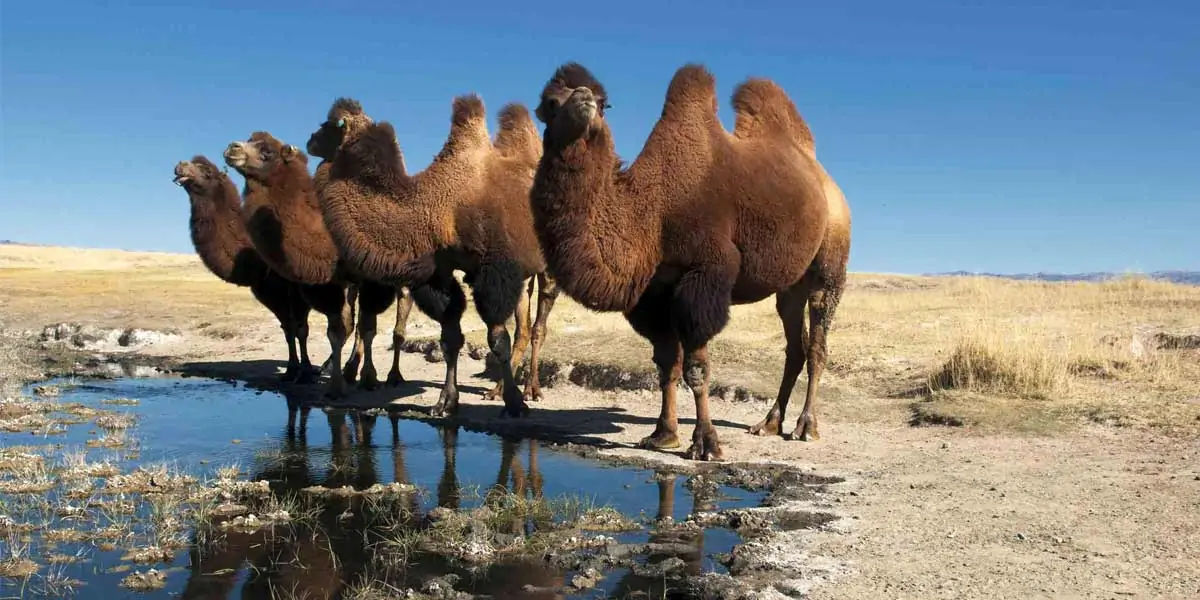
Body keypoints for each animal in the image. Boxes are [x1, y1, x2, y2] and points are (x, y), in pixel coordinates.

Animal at [174, 155, 316, 382]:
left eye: (206, 170)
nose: (180, 167)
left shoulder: (298, 288)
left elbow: (301, 329)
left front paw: (307, 372)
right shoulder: (267, 291)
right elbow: (288, 329)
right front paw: (291, 370)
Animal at [223, 132, 413, 397]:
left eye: (267, 152)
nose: (233, 148)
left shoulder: (370, 279)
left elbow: (367, 328)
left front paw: (369, 379)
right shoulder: (331, 283)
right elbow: (337, 330)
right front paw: (335, 385)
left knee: (397, 320)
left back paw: (392, 375)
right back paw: (347, 369)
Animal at [314, 96, 558, 418]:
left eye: (328, 124)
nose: (310, 141)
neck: (435, 205)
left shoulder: (493, 269)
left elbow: (497, 340)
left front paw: (515, 405)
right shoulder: (439, 273)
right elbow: (450, 337)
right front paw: (446, 401)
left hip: (548, 267)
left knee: (539, 324)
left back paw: (529, 390)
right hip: (524, 275)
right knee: (524, 326)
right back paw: (501, 389)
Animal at [530, 63, 851, 461]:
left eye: (605, 104)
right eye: (549, 103)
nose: (584, 99)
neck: (653, 213)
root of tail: (825, 180)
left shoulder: (703, 277)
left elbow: (697, 369)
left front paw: (706, 443)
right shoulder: (653, 296)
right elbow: (667, 365)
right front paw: (663, 434)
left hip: (831, 261)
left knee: (819, 340)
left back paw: (806, 426)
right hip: (789, 287)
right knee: (796, 344)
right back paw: (769, 423)